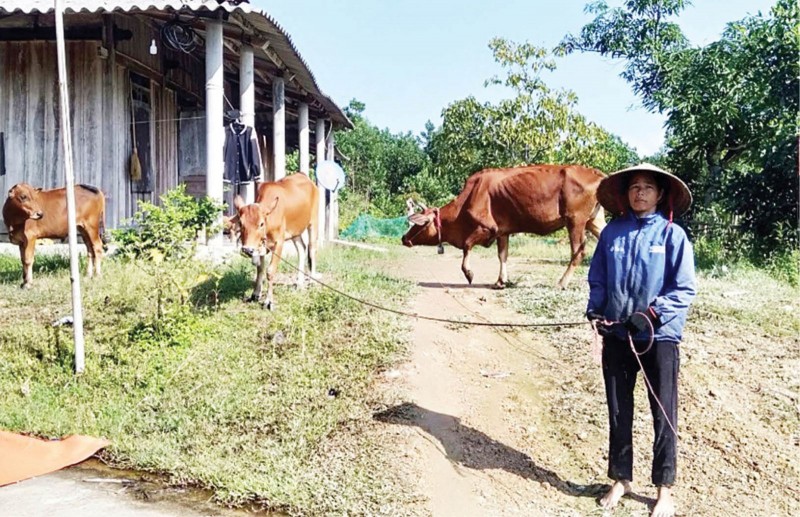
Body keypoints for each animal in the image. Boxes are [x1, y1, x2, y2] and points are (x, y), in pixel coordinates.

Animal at [231, 173, 318, 310]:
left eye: (261, 224)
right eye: (241, 223)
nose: (247, 249)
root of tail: (305, 176)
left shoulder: (279, 243)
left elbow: (270, 271)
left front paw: (269, 301)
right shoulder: (260, 246)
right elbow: (260, 268)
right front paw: (255, 294)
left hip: (313, 222)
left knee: (312, 250)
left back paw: (312, 281)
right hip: (295, 231)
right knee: (302, 249)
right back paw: (299, 283)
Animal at [404, 163, 604, 288]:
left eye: (418, 224)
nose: (404, 238)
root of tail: (596, 173)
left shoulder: (487, 228)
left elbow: (467, 246)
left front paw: (469, 273)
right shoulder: (502, 232)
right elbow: (502, 256)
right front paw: (501, 281)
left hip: (576, 221)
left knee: (578, 252)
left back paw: (562, 283)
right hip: (594, 220)